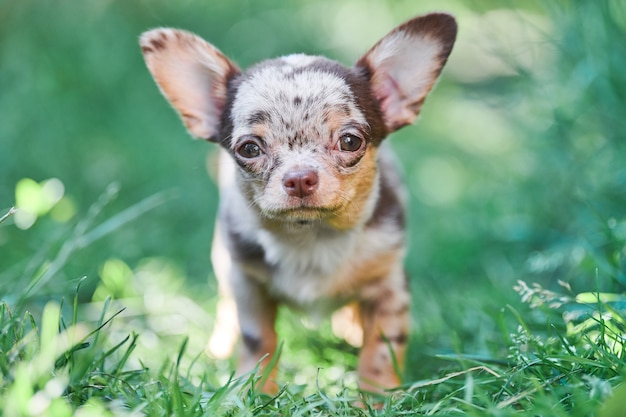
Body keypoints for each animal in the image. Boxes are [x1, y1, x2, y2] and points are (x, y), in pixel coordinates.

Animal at [140, 12, 454, 390]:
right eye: (249, 149)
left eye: (350, 141)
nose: (300, 177)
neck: (311, 239)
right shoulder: (247, 284)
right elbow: (259, 341)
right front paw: (251, 391)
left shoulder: (389, 287)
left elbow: (380, 350)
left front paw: (377, 397)